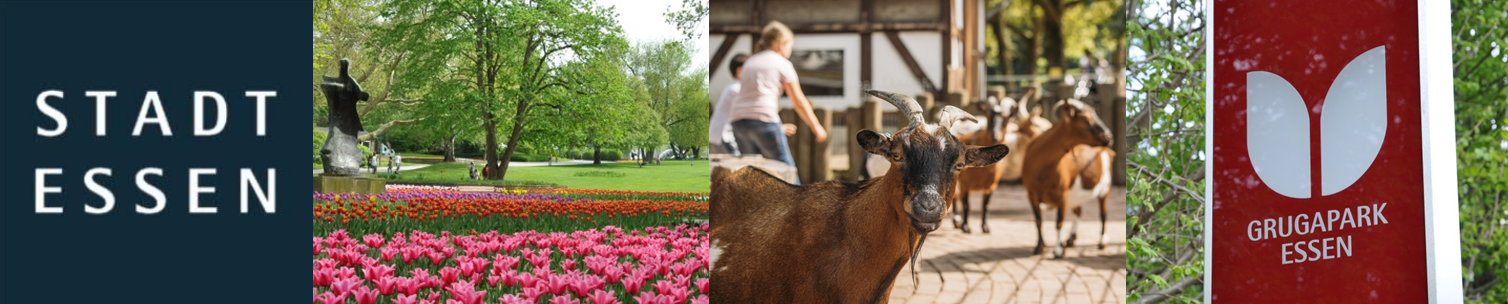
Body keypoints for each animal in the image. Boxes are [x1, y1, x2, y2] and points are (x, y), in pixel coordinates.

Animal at [1019, 98, 1115, 257]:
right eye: (1085, 119)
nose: (1108, 136)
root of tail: (1107, 151)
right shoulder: (1031, 194)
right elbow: (1038, 220)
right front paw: (1039, 247)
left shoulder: (1062, 193)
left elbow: (1059, 221)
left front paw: (1058, 250)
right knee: (1079, 211)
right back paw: (1071, 239)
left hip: (1105, 187)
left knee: (1103, 213)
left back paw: (1102, 242)